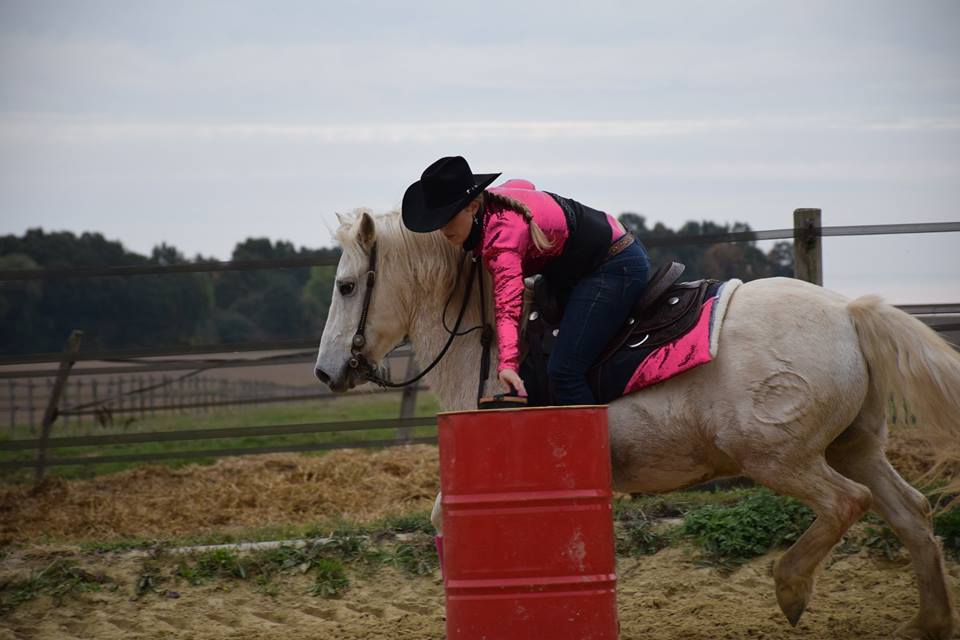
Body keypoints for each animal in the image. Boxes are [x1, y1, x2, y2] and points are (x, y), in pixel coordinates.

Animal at [316, 210, 960, 640]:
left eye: (346, 286)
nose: (325, 372)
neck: (488, 341)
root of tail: (848, 312)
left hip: (779, 457)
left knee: (846, 503)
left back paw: (792, 588)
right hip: (855, 446)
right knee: (910, 511)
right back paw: (928, 621)